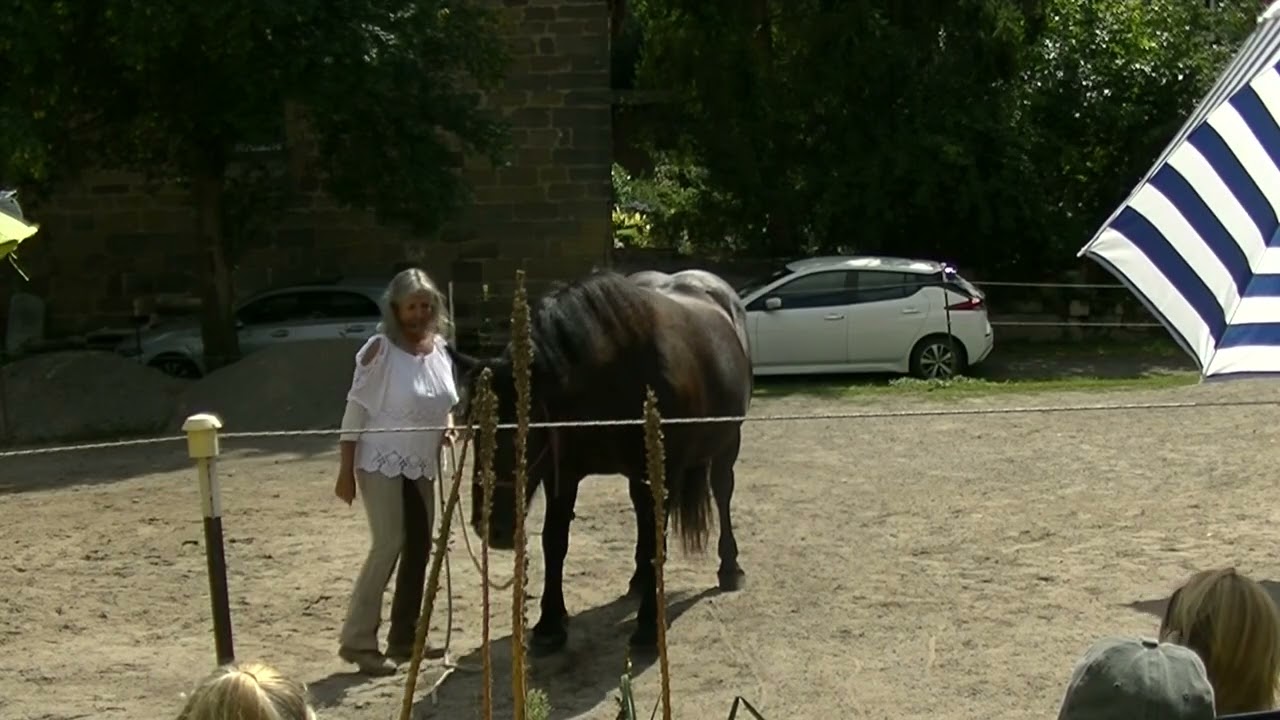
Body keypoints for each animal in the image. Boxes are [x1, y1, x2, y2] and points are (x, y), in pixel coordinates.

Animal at [447, 269, 753, 654]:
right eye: (473, 430)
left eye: (527, 431)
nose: (493, 528)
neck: (609, 381)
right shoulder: (563, 473)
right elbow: (555, 541)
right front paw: (550, 624)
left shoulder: (661, 473)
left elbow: (656, 543)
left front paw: (648, 627)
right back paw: (639, 580)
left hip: (728, 442)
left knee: (722, 492)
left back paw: (729, 568)